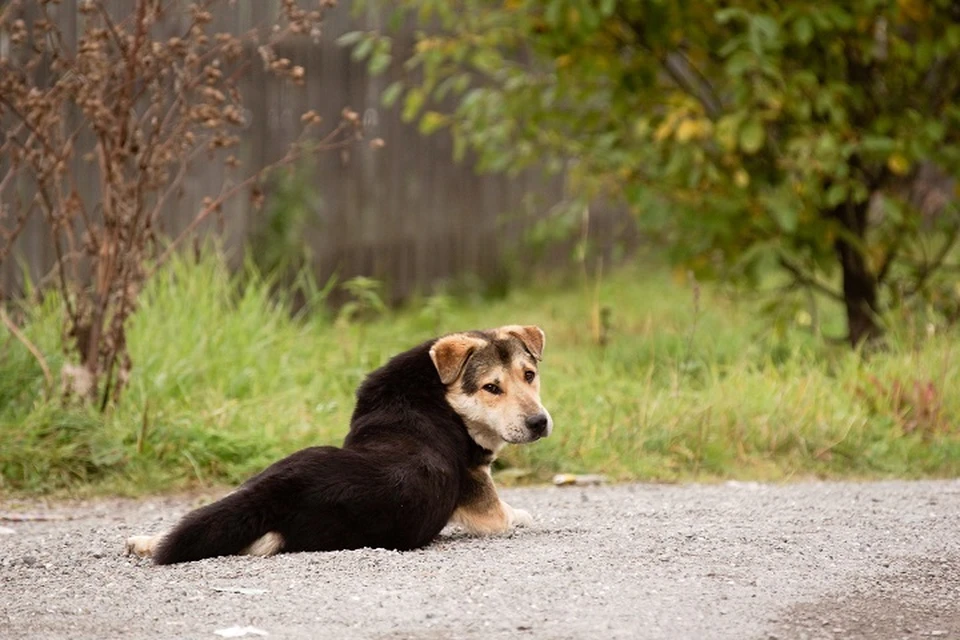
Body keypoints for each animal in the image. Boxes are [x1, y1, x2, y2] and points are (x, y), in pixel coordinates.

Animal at [124, 324, 552, 564]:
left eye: (529, 375)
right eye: (491, 388)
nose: (539, 422)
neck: (431, 394)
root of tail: (279, 487)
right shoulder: (487, 507)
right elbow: (515, 514)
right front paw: (528, 515)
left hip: (259, 479)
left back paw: (146, 542)